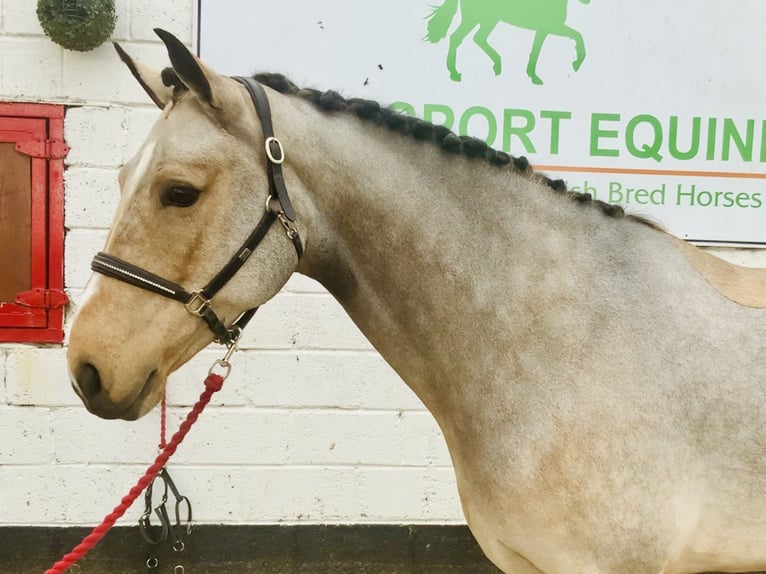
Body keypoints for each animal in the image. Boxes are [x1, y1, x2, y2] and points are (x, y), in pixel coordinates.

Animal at [424, 0, 592, 84]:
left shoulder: (543, 30)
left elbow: (536, 50)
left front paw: (532, 75)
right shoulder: (551, 26)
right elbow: (578, 36)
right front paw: (576, 63)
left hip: (489, 20)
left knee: (477, 38)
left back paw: (496, 64)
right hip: (477, 18)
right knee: (458, 37)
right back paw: (454, 72)